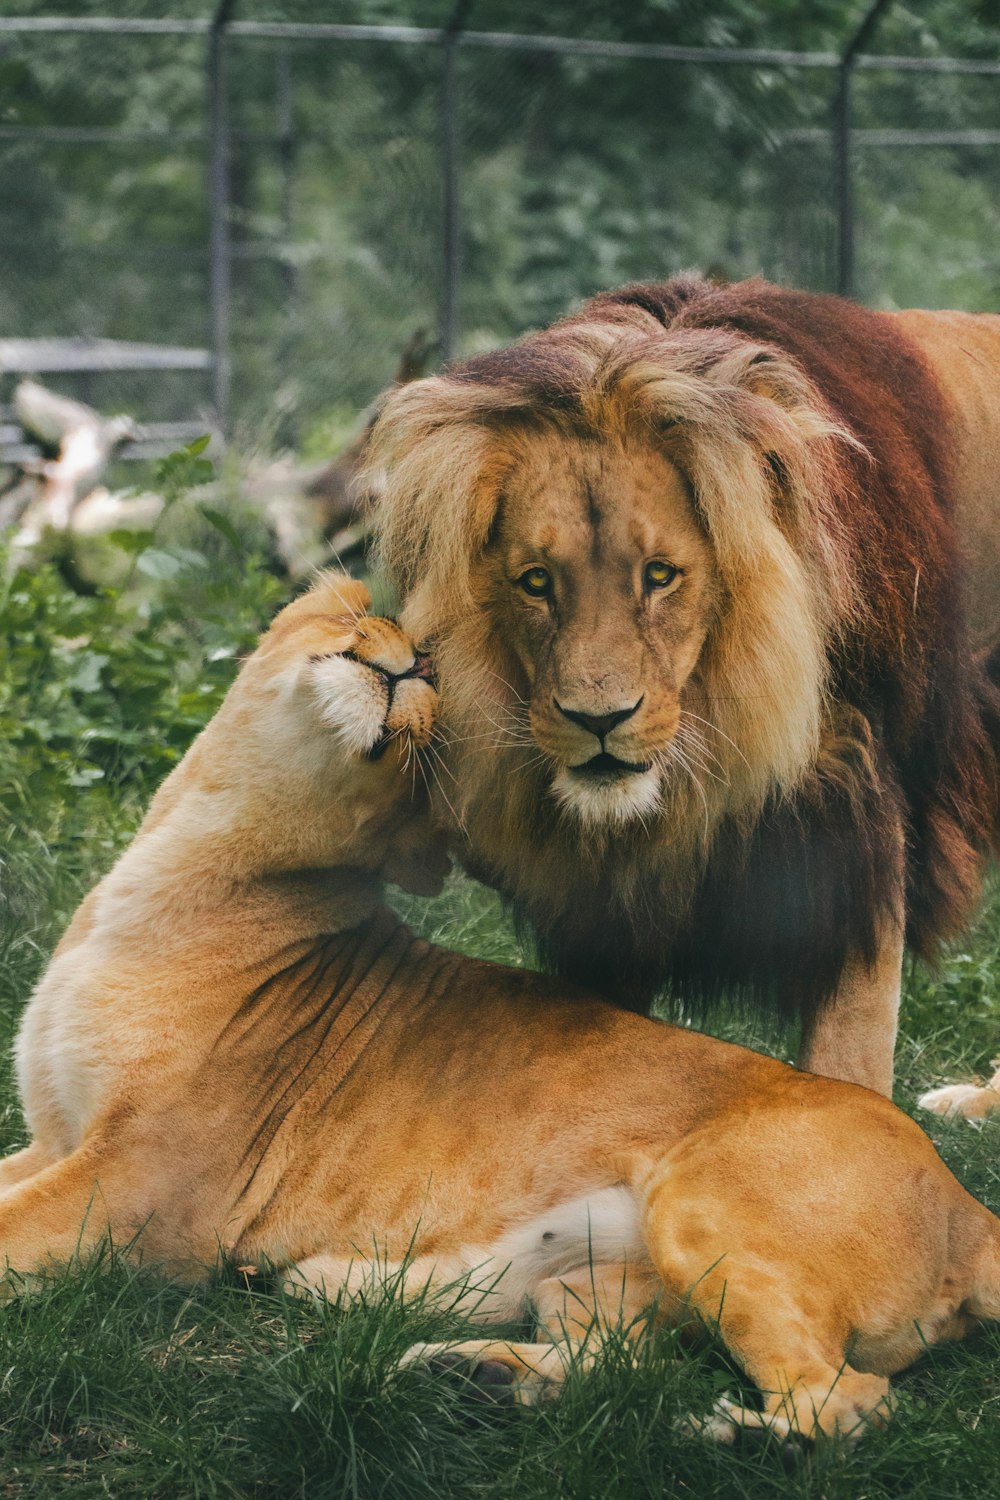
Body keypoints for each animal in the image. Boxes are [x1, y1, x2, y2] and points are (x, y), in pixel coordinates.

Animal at [9, 570, 1000, 1440]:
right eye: (368, 614)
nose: (418, 661)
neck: (191, 861)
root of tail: (969, 1209)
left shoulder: (140, 1191)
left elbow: (13, 1232)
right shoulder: (57, 1142)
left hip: (705, 1211)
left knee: (845, 1400)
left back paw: (728, 1435)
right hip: (598, 1280)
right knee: (622, 1364)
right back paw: (468, 1375)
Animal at [370, 276, 1000, 1092]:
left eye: (661, 575)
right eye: (535, 582)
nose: (598, 720)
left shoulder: (855, 842)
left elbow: (846, 1068)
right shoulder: (604, 917)